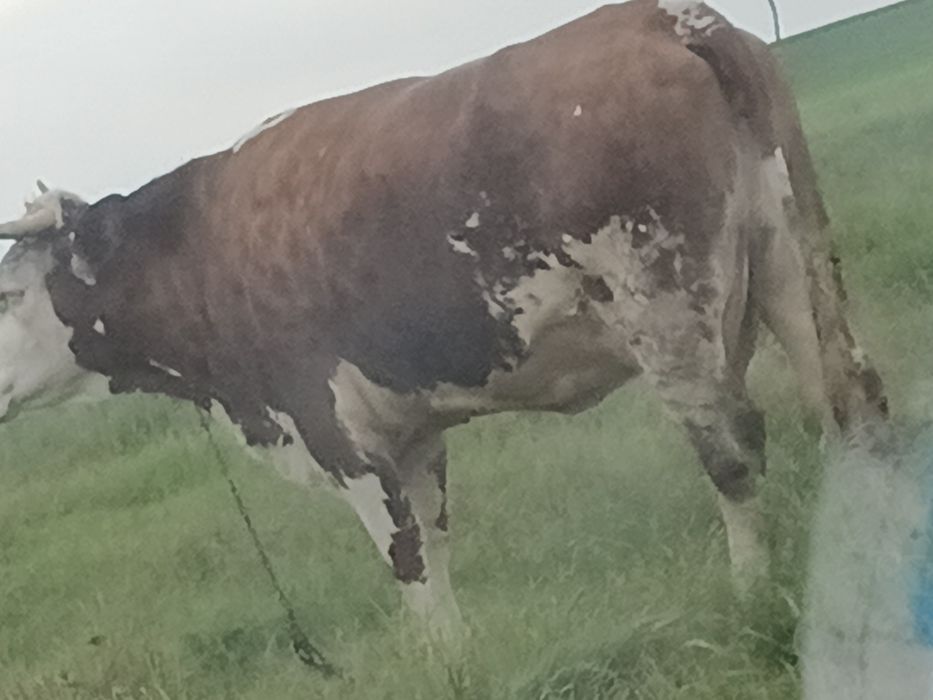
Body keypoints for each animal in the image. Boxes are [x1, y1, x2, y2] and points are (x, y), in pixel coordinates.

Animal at [0, 0, 887, 642]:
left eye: (7, 294)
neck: (196, 248)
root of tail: (659, 18)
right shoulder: (412, 435)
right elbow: (436, 547)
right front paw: (458, 659)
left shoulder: (339, 434)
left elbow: (407, 564)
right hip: (788, 259)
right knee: (847, 400)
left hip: (667, 309)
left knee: (731, 449)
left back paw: (751, 591)